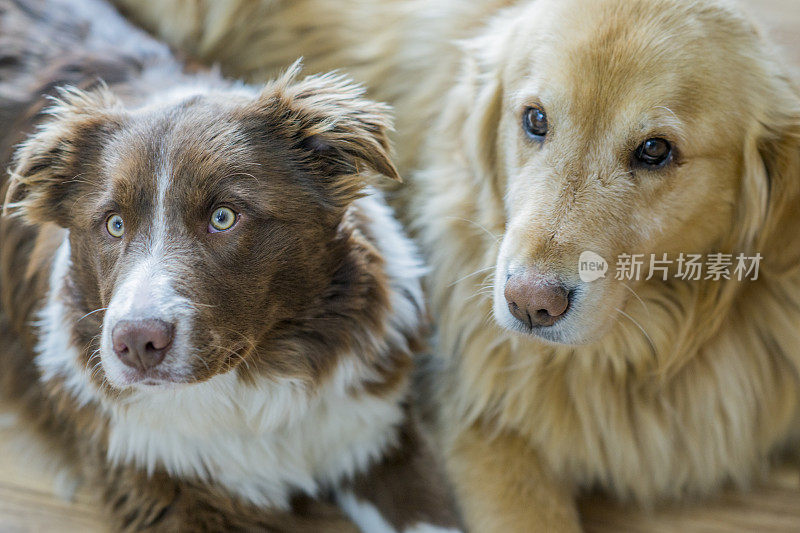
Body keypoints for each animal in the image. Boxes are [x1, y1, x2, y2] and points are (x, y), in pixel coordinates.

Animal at [0, 2, 462, 528]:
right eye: (114, 224)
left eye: (223, 217)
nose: (136, 343)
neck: (254, 383)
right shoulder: (165, 486)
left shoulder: (378, 438)